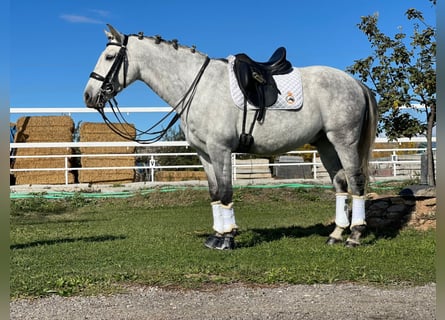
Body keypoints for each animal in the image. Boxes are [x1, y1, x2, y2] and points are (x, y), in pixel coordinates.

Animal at [82, 25, 374, 250]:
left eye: (109, 56)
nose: (88, 96)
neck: (199, 86)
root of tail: (355, 83)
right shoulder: (204, 153)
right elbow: (214, 192)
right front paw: (217, 236)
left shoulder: (220, 149)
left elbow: (225, 192)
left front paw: (228, 239)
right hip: (325, 145)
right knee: (340, 184)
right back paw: (336, 234)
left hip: (344, 142)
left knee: (356, 182)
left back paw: (355, 236)